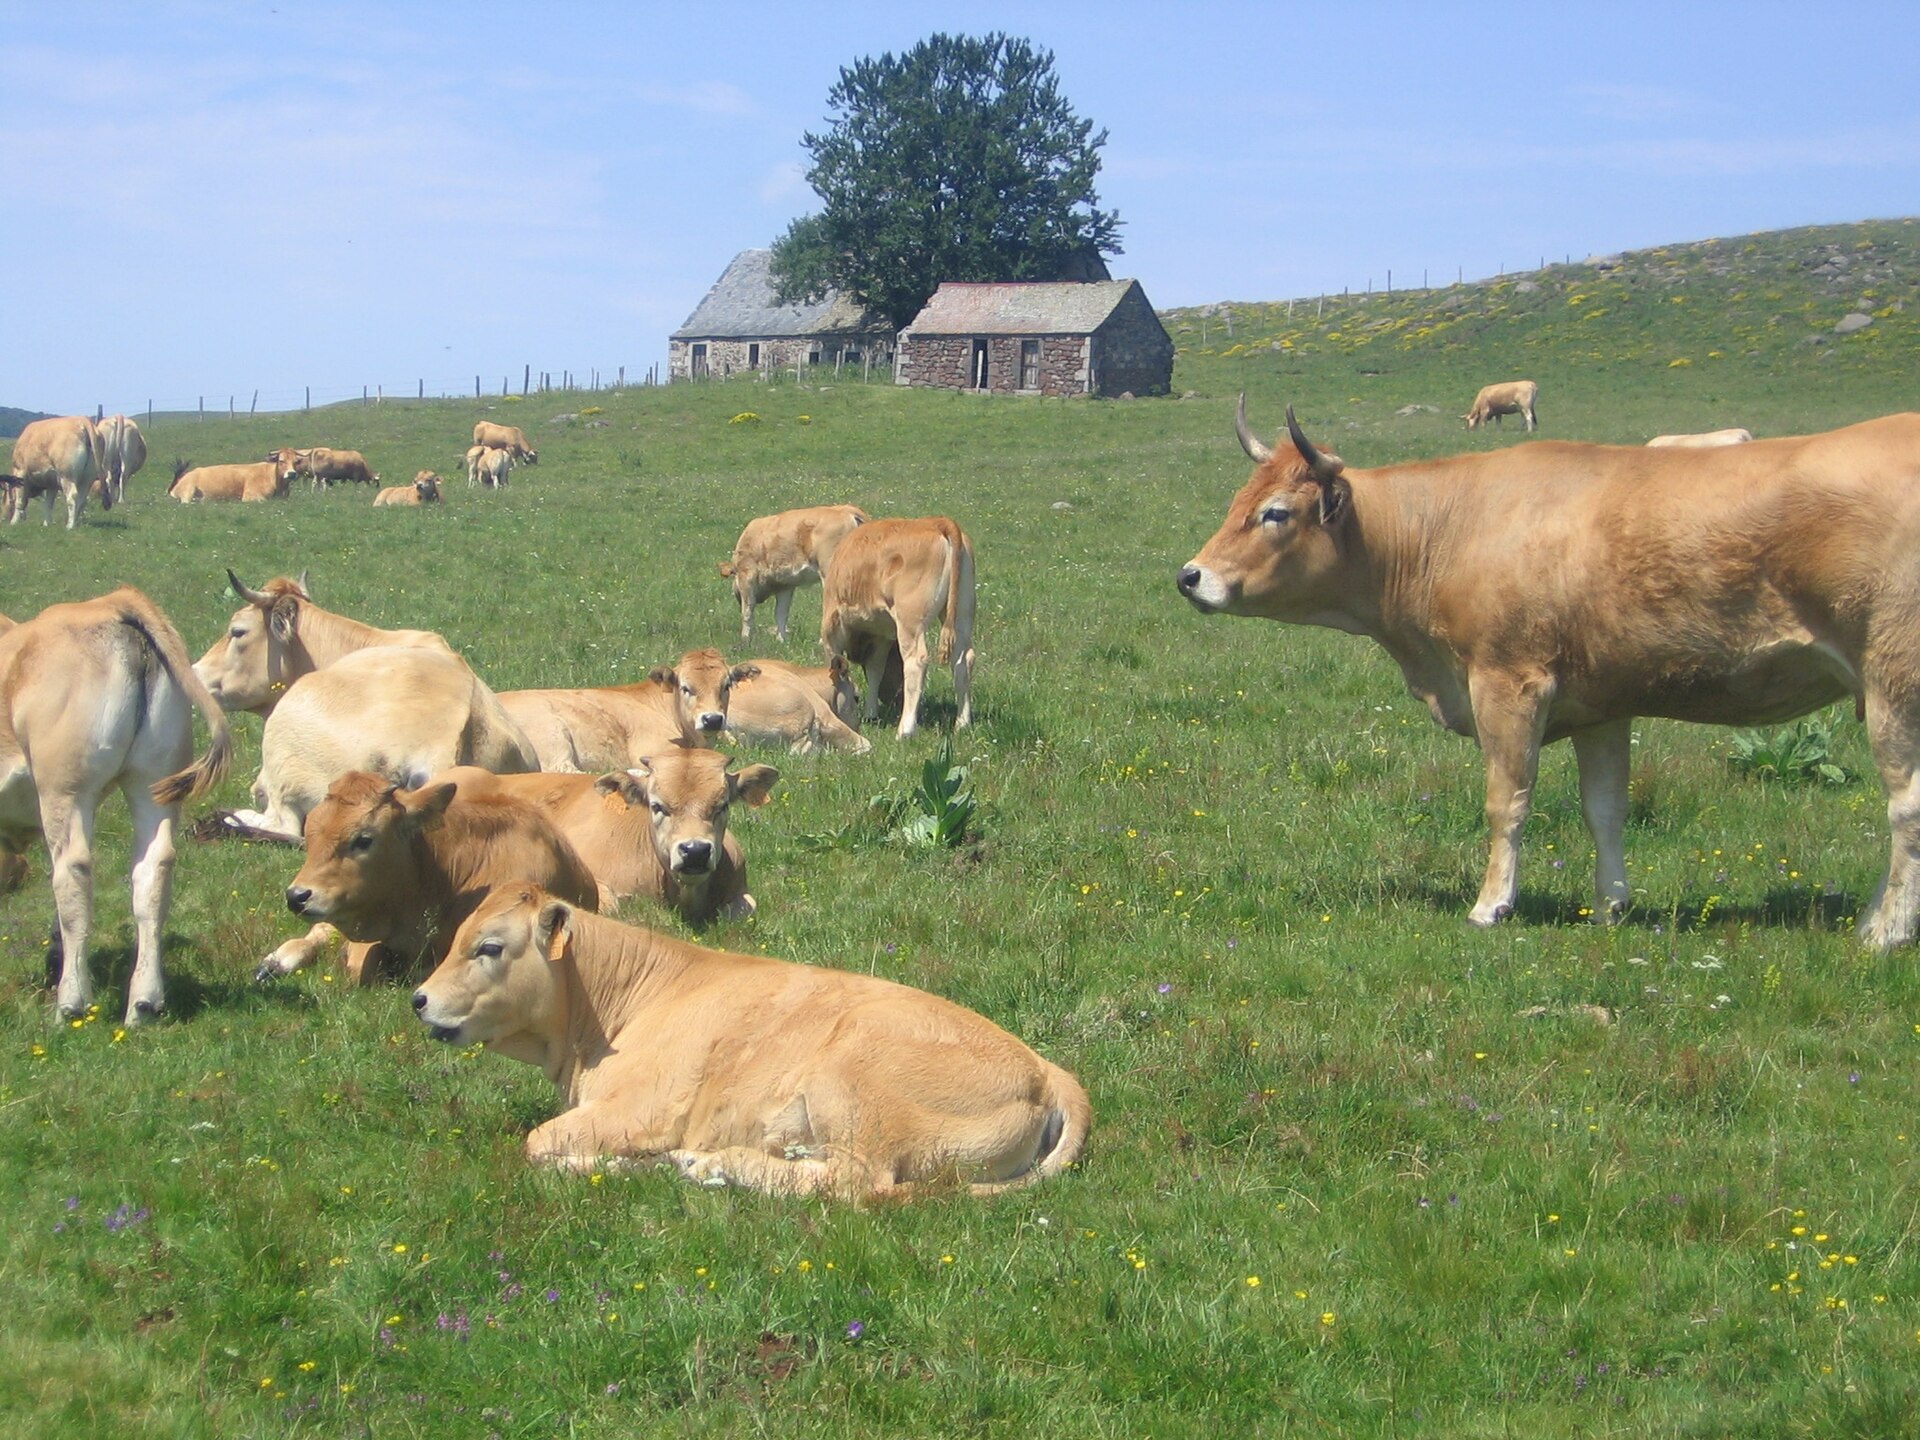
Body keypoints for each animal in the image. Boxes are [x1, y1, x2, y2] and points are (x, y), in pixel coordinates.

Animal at [0, 588, 231, 1022]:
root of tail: (112, 602)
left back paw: (70, 1002)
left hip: (65, 791)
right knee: (153, 872)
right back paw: (144, 1002)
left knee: (72, 872)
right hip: (154, 781)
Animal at [412, 883, 1093, 1196]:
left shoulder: (639, 1109)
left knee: (856, 1182)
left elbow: (537, 1143)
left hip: (851, 1078)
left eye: (488, 947)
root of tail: (1047, 1069)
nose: (418, 999)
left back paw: (718, 1164)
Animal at [719, 504, 871, 642]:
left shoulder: (747, 574)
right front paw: (781, 640)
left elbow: (747, 610)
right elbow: (781, 613)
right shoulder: (785, 585)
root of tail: (848, 510)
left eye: (735, 575)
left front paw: (745, 640)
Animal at [820, 517, 975, 738]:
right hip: (962, 613)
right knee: (963, 661)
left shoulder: (832, 626)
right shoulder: (882, 635)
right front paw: (871, 714)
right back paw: (962, 723)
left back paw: (906, 730)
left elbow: (834, 665)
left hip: (910, 619)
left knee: (916, 661)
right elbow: (875, 669)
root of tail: (937, 521)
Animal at [1177, 397, 1920, 949]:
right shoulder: (1603, 705)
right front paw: (1613, 905)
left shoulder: (1507, 683)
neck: (1448, 529)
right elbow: (1606, 809)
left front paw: (1491, 904)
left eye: (1276, 512)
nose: (1191, 576)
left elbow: (1507, 801)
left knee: (1906, 805)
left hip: (1894, 683)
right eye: (1240, 499)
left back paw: (1884, 931)